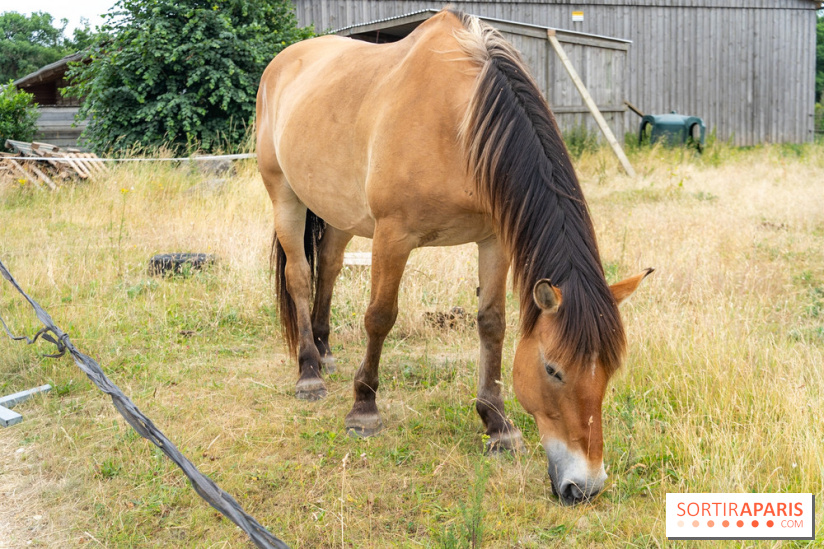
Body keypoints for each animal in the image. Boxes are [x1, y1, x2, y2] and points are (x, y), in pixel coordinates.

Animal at [256, 8, 651, 505]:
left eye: (610, 371)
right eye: (552, 370)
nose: (585, 485)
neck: (457, 122)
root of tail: (284, 60)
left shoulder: (494, 240)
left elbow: (492, 325)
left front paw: (497, 423)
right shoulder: (393, 236)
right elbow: (380, 317)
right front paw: (364, 408)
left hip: (339, 210)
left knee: (327, 266)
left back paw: (325, 353)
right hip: (283, 195)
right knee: (299, 277)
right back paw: (309, 372)